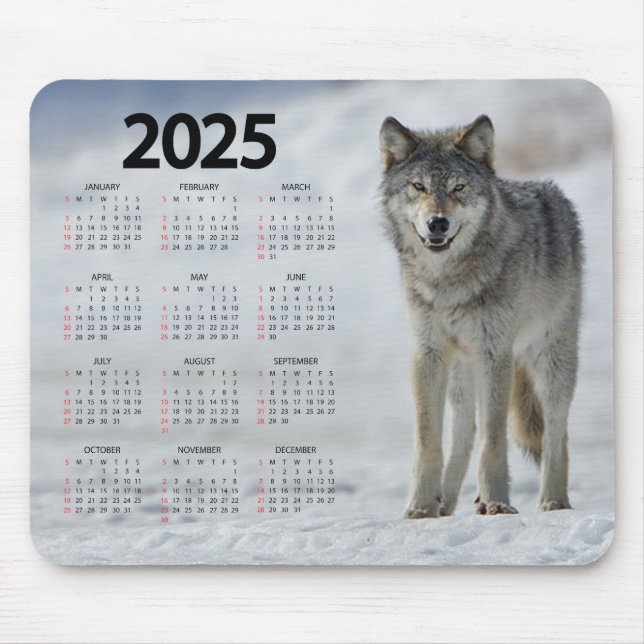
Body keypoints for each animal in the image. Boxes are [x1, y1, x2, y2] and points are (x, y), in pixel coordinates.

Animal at [379, 114, 583, 517]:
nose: (438, 223)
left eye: (458, 187)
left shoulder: (495, 353)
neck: (448, 281)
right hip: (462, 368)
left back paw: (553, 501)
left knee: (557, 429)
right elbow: (428, 439)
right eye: (418, 186)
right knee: (464, 431)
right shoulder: (428, 353)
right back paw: (445, 504)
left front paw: (496, 502)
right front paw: (421, 507)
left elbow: (494, 435)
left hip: (550, 358)